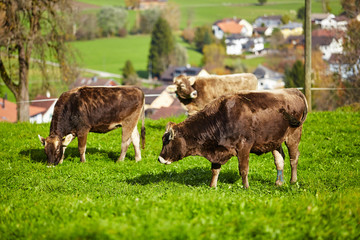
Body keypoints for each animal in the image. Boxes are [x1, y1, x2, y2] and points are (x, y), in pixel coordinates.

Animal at [158, 88, 306, 188]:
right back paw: (279, 182)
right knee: (280, 160)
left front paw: (246, 187)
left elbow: (243, 169)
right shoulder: (217, 149)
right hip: (275, 141)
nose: (159, 159)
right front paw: (212, 186)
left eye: (168, 141)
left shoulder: (244, 147)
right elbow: (215, 170)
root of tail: (293, 91)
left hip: (293, 136)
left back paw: (293, 180)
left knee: (294, 158)